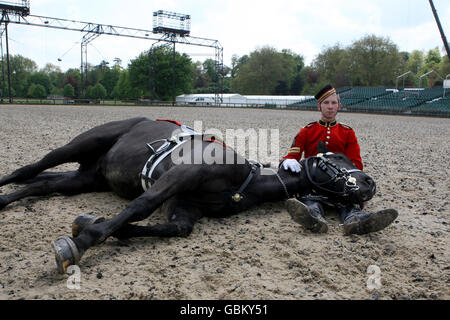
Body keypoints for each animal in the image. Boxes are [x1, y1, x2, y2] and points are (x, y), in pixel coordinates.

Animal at [0, 117, 394, 272]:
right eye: (337, 158)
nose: (369, 182)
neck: (245, 180)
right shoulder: (180, 176)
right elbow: (141, 206)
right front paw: (81, 242)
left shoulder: (182, 207)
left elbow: (173, 228)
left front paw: (88, 224)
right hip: (81, 145)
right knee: (29, 170)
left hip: (88, 177)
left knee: (42, 184)